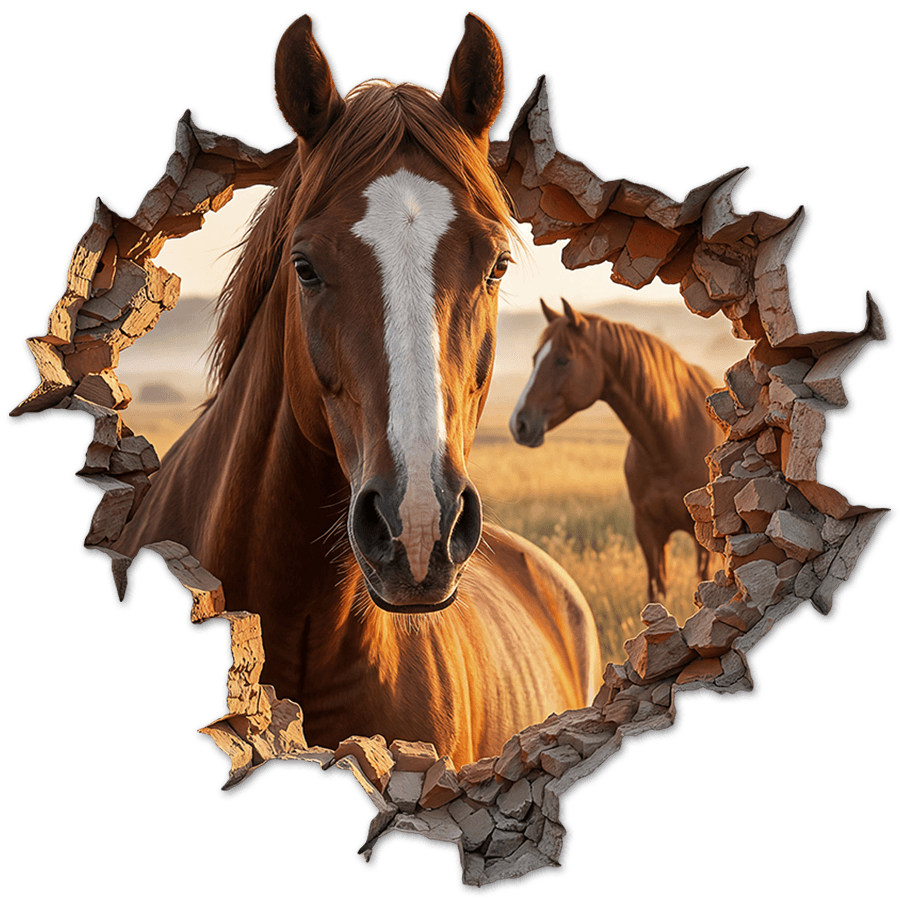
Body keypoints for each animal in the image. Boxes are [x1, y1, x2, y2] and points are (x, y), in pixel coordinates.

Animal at [510, 298, 721, 601]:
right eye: (535, 357)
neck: (672, 441)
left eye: (562, 359)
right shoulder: (648, 532)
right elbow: (657, 591)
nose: (519, 423)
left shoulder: (702, 538)